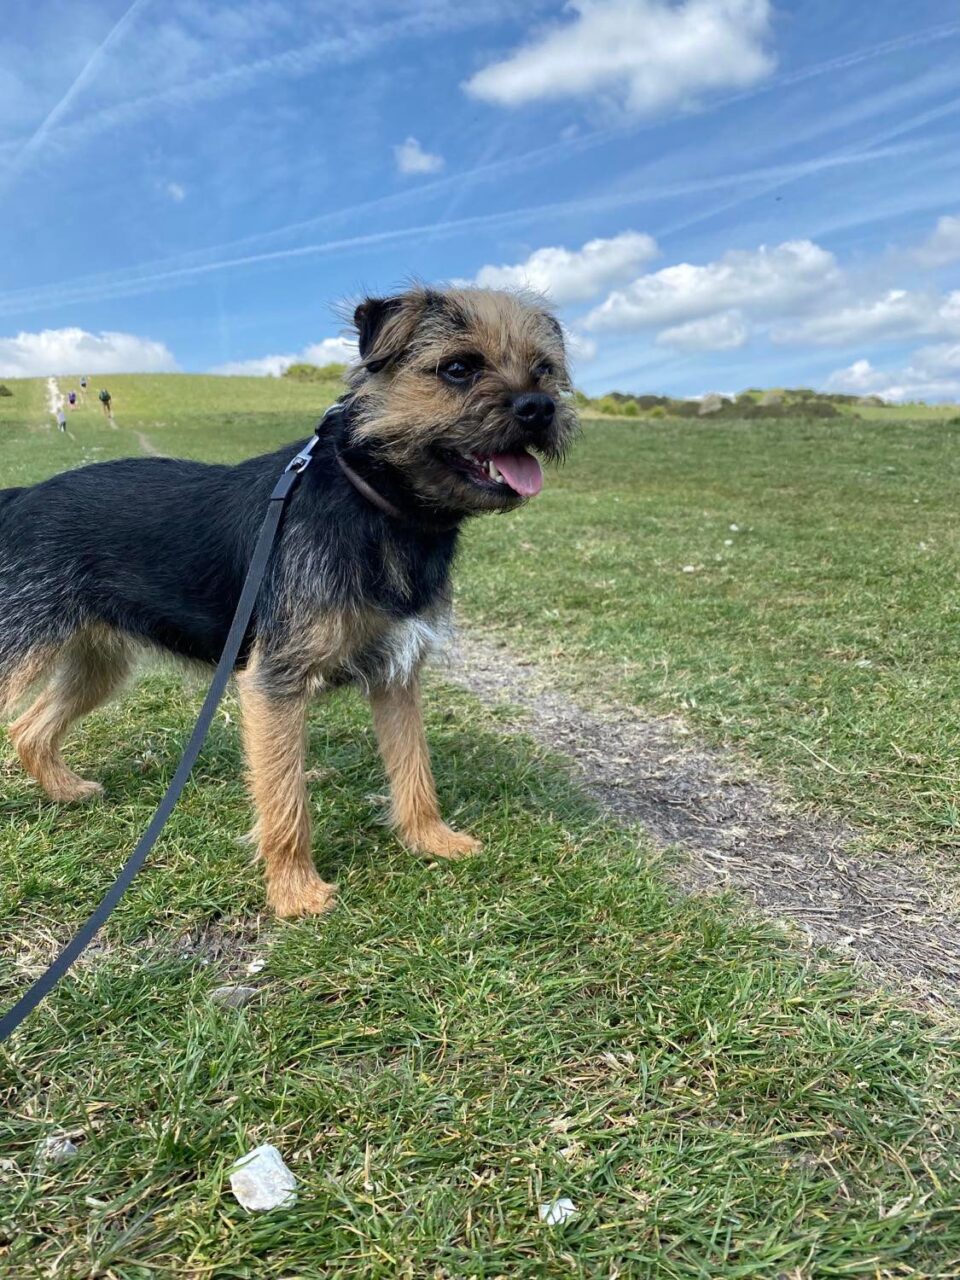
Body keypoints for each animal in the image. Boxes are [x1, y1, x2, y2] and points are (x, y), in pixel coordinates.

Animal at [0, 285, 578, 916]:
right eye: (457, 368)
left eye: (544, 369)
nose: (539, 408)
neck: (377, 506)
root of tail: (20, 497)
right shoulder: (274, 682)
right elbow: (285, 797)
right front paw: (296, 892)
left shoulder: (397, 675)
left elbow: (414, 767)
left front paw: (430, 839)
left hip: (98, 663)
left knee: (29, 728)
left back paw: (65, 790)